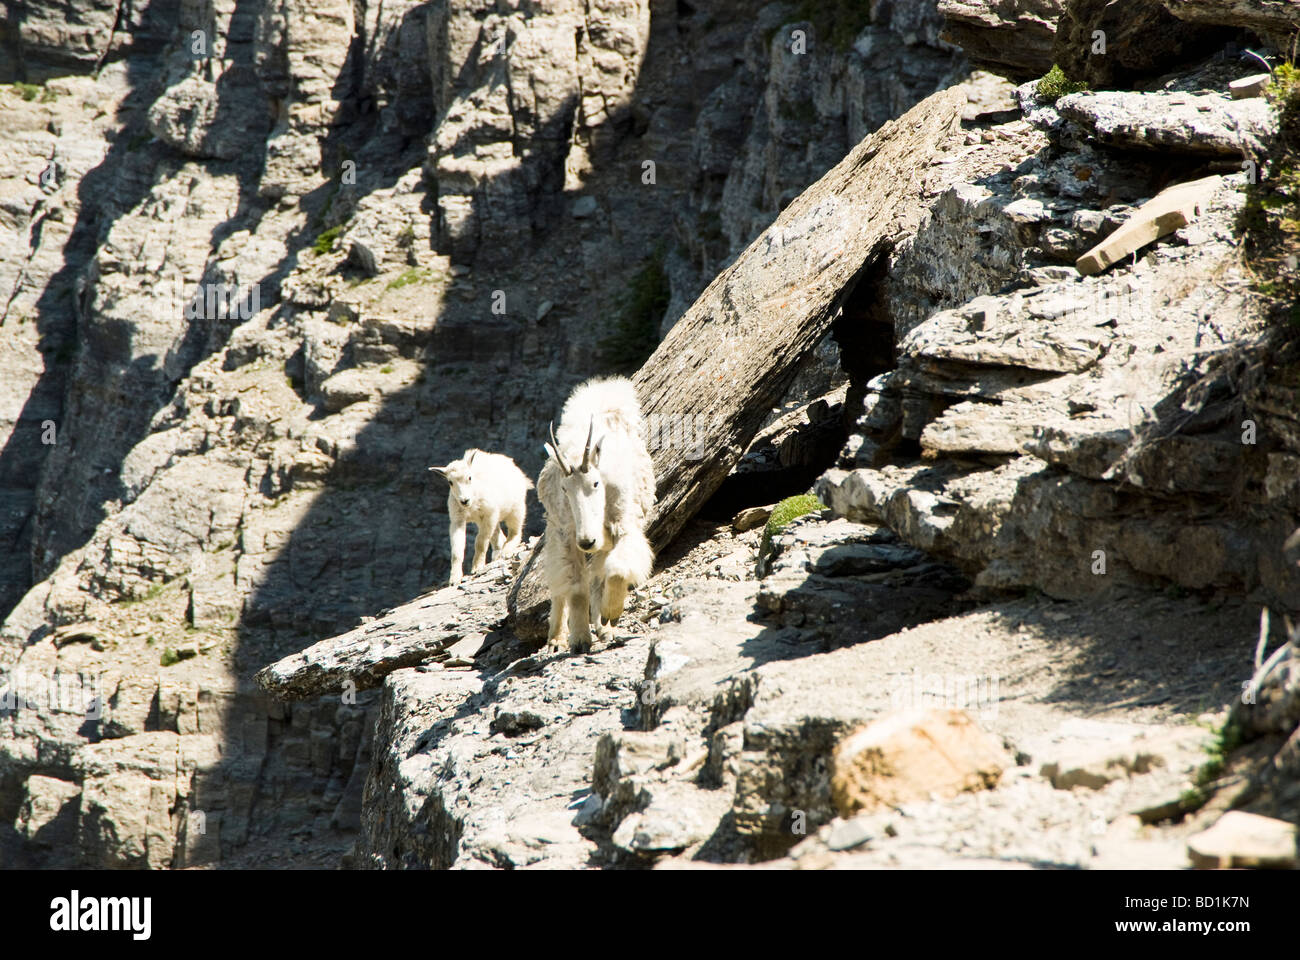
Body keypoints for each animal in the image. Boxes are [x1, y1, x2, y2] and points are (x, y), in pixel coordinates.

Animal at [429, 449, 532, 586]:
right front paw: (454, 578)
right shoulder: (458, 520)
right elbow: (457, 550)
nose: (464, 501)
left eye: (469, 477)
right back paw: (497, 554)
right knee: (498, 536)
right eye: (450, 482)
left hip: (516, 508)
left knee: (515, 531)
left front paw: (477, 567)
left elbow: (480, 541)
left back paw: (506, 550)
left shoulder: (490, 514)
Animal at [538, 376, 656, 653]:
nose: (587, 541)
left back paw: (604, 627)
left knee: (600, 573)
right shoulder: (567, 534)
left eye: (595, 483)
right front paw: (580, 639)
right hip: (554, 528)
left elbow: (617, 570)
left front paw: (610, 613)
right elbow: (575, 587)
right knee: (560, 587)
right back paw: (557, 638)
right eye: (564, 489)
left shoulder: (624, 525)